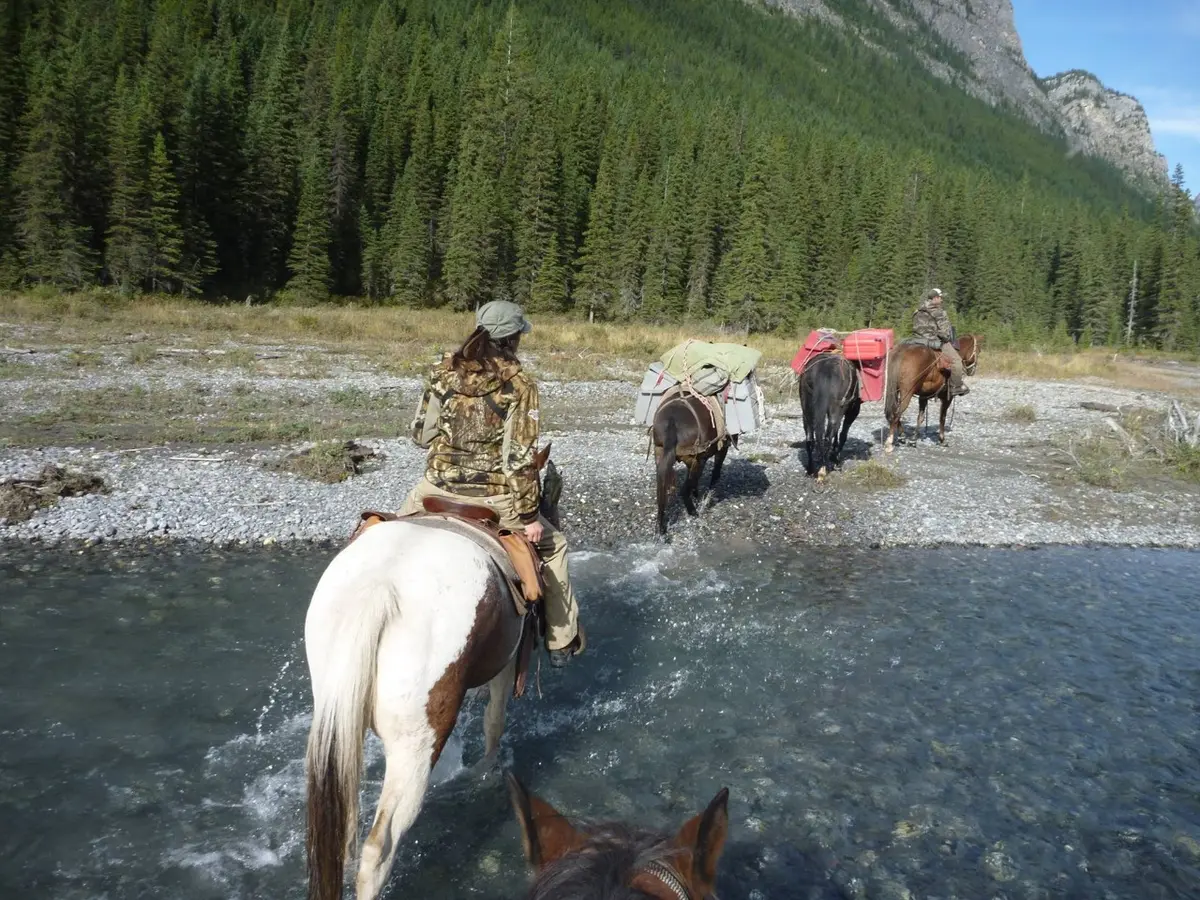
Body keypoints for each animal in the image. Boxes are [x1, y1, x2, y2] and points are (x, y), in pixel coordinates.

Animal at [304, 448, 556, 900]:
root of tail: (378, 589)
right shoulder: (508, 663)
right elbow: (494, 722)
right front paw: (485, 771)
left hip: (339, 714)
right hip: (414, 749)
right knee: (378, 848)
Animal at [657, 393, 729, 535]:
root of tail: (672, 420)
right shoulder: (722, 447)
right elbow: (715, 472)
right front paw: (707, 496)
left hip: (660, 453)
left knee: (662, 488)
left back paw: (661, 526)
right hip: (697, 460)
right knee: (684, 490)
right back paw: (693, 512)